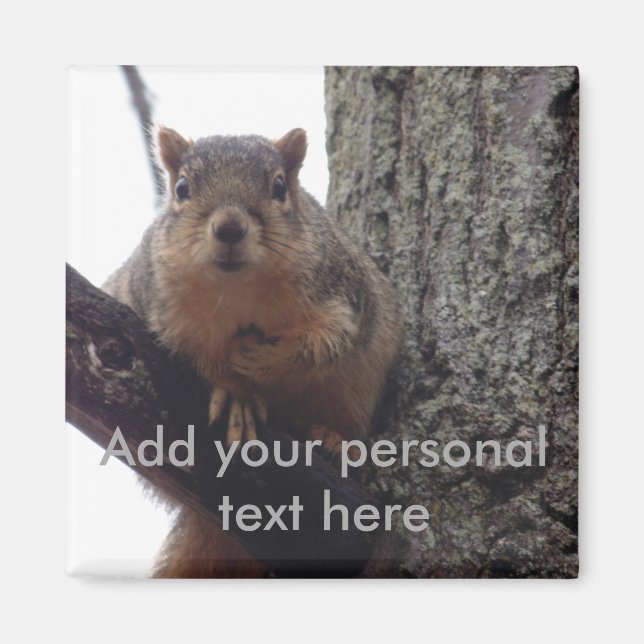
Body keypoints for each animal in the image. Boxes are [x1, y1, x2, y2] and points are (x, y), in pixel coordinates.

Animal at [102, 126, 403, 577]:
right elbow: (198, 356)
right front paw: (237, 393)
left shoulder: (340, 294)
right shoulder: (162, 311)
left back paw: (331, 438)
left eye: (279, 187)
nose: (229, 228)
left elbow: (325, 341)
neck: (237, 289)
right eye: (182, 188)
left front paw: (261, 361)